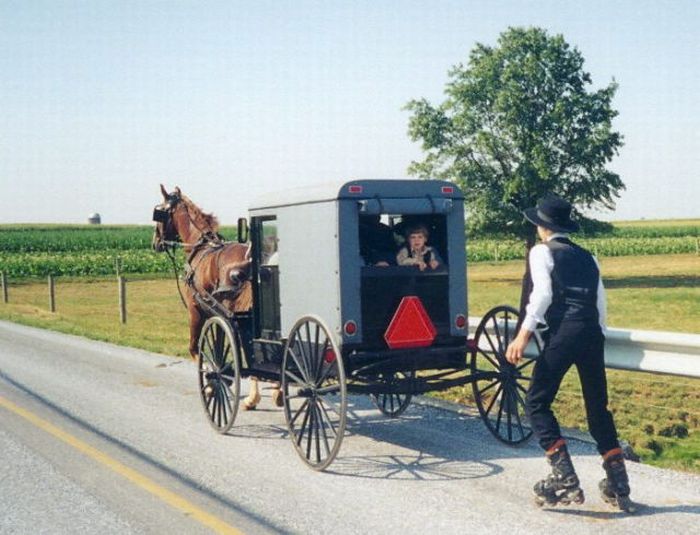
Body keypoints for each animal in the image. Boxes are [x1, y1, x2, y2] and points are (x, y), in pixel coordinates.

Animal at [153, 185, 278, 410]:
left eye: (159, 213)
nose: (155, 243)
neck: (200, 247)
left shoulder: (196, 311)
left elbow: (195, 349)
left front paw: (211, 384)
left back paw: (254, 397)